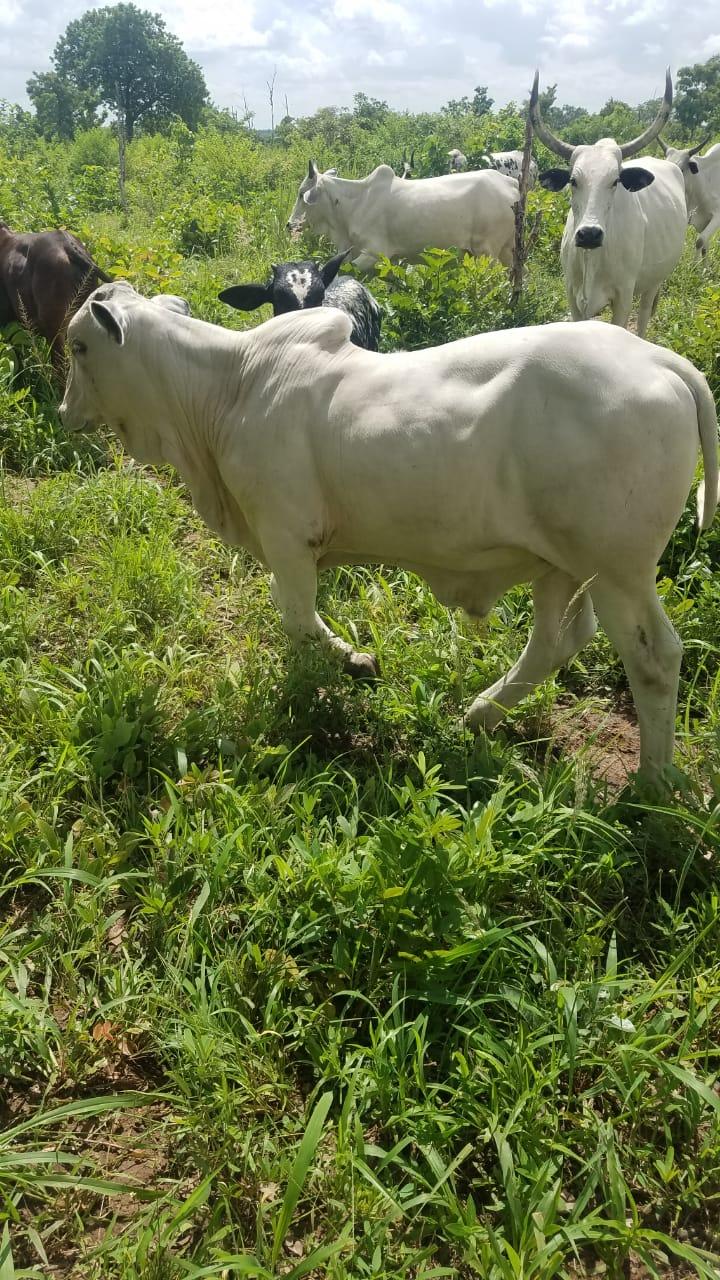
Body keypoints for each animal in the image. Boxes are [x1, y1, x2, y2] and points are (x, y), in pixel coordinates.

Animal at [59, 280, 719, 784]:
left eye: (78, 345)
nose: (66, 413)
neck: (230, 386)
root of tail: (659, 358)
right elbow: (297, 617)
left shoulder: (285, 536)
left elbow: (297, 619)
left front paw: (346, 669)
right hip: (560, 562)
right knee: (557, 641)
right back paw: (482, 712)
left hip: (618, 568)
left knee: (654, 658)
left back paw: (653, 784)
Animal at [287, 160, 519, 270]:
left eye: (301, 194)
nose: (289, 225)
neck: (355, 203)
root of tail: (510, 183)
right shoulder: (390, 260)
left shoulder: (373, 253)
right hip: (506, 250)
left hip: (486, 252)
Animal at [530, 71, 687, 337]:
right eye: (573, 181)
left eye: (615, 181)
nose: (589, 234)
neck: (592, 258)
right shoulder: (573, 297)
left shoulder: (623, 297)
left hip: (653, 282)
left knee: (644, 315)